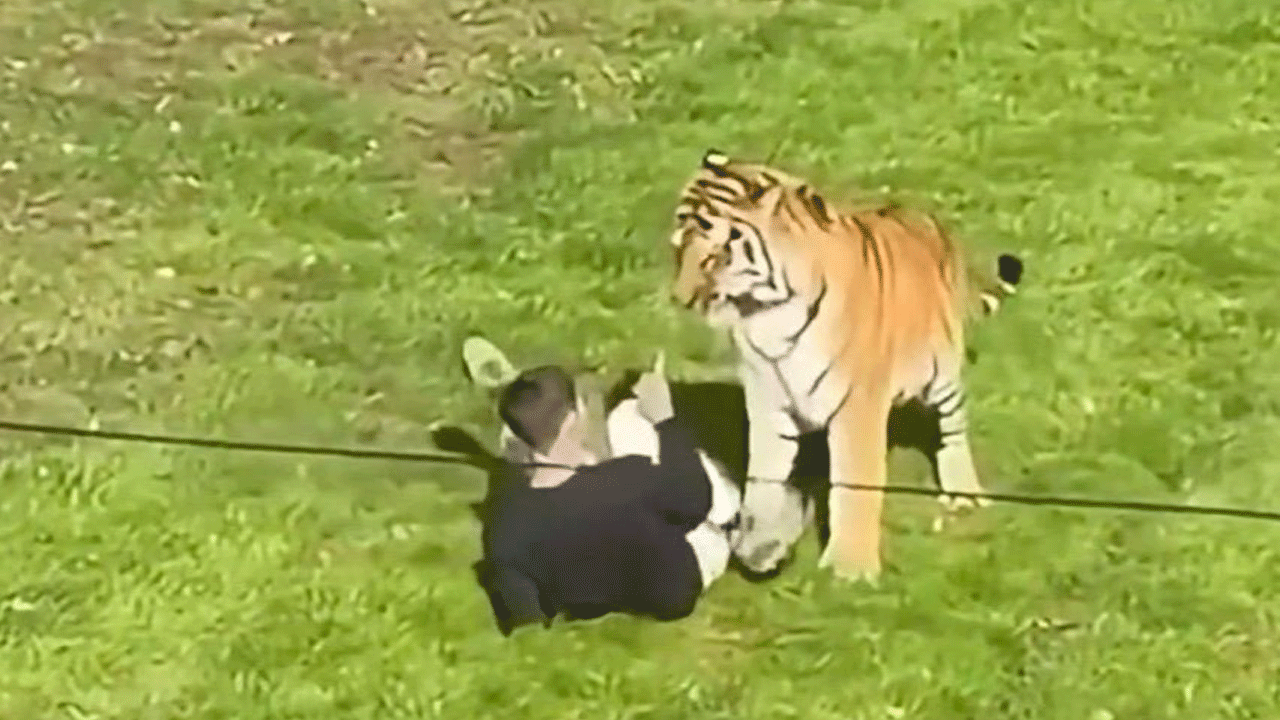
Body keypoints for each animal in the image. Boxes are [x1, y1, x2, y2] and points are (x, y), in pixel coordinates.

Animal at [667, 149, 1025, 583]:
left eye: (715, 255)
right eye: (677, 248)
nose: (680, 298)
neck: (766, 314)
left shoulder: (858, 406)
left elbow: (854, 487)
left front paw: (850, 569)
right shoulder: (767, 402)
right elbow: (763, 480)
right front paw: (760, 547)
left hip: (942, 374)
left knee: (953, 430)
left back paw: (964, 493)